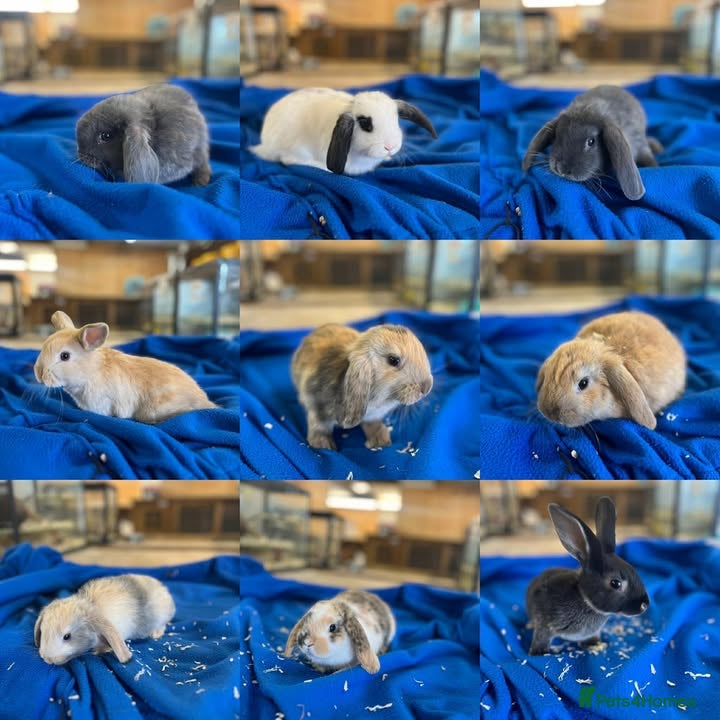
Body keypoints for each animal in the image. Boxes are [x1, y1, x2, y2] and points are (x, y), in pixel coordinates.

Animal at [34, 574, 175, 665]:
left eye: (67, 636)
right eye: (43, 632)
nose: (47, 659)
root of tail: (165, 591)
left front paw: (100, 650)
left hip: (161, 617)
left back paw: (156, 634)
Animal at [249, 88, 437, 175]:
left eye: (395, 120)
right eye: (365, 125)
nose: (390, 147)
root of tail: (266, 142)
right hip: (295, 149)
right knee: (288, 160)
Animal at [290, 323, 433, 450]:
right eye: (393, 360)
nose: (426, 387)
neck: (379, 400)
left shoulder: (372, 416)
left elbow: (372, 424)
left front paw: (380, 440)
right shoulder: (317, 406)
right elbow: (319, 425)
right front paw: (323, 445)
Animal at [526, 497, 650, 655]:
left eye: (633, 569)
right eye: (615, 583)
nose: (644, 605)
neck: (585, 599)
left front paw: (594, 644)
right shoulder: (544, 624)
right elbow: (541, 636)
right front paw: (538, 652)